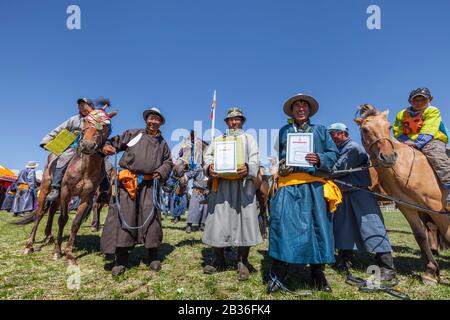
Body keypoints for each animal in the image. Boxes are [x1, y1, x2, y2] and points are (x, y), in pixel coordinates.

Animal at [16, 107, 117, 264]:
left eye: (105, 126)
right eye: (86, 121)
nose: (87, 145)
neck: (85, 168)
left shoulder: (87, 197)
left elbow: (76, 223)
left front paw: (69, 253)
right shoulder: (65, 192)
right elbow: (63, 219)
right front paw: (57, 251)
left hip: (58, 197)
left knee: (52, 210)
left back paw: (50, 236)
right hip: (45, 189)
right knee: (39, 214)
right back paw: (29, 245)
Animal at [356, 104, 450, 284]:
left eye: (388, 127)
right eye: (365, 129)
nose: (388, 157)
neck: (406, 169)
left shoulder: (437, 209)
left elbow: (448, 234)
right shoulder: (407, 208)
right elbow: (420, 236)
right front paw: (430, 271)